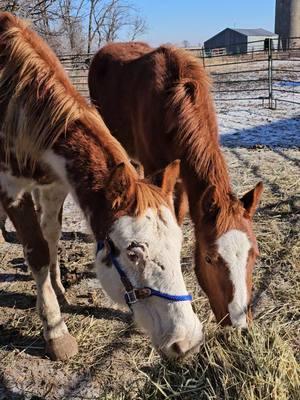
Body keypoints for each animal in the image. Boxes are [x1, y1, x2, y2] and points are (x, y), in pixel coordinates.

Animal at [0, 14, 203, 360]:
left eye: (178, 245)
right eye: (133, 253)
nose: (187, 342)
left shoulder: (54, 186)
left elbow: (50, 236)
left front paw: (59, 290)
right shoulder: (12, 190)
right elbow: (36, 250)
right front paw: (56, 331)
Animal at [88, 41, 264, 328]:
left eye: (255, 255)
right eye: (209, 259)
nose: (239, 325)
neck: (170, 105)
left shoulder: (181, 179)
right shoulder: (157, 170)